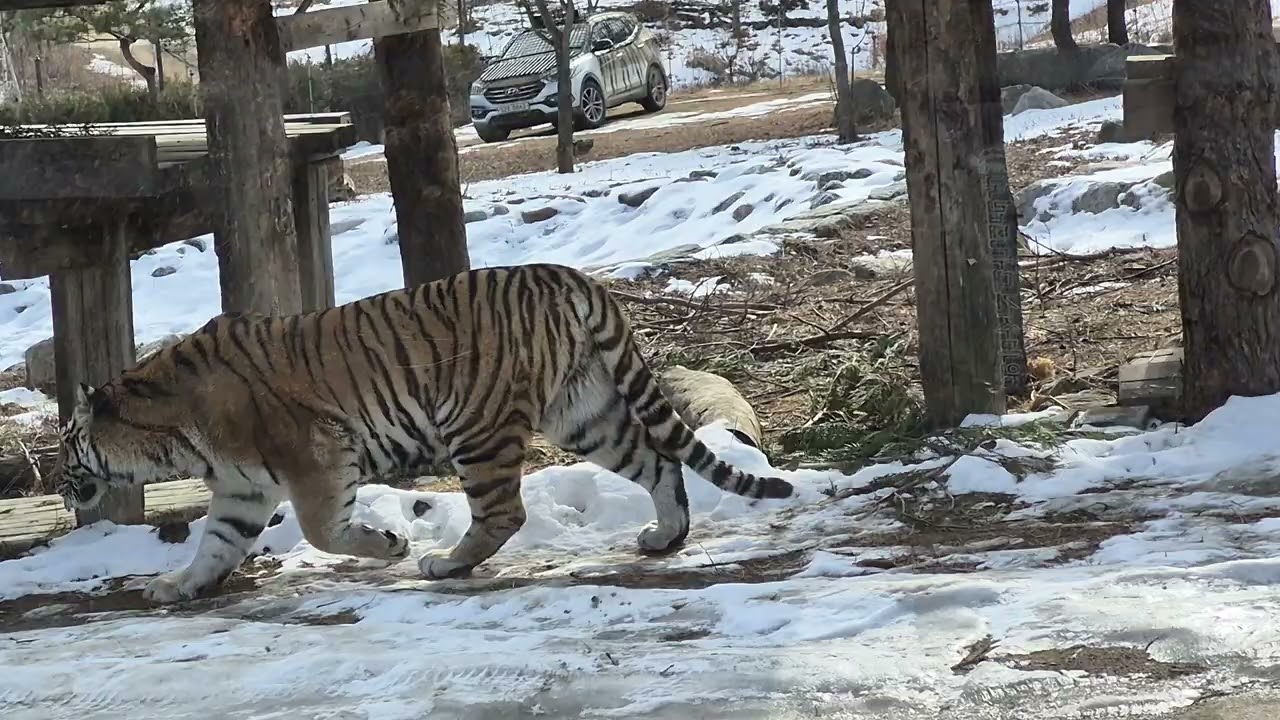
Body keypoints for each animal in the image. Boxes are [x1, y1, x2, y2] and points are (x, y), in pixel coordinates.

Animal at [56, 263, 795, 603]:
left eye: (66, 444)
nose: (62, 486)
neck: (169, 430)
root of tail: (564, 274)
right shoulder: (242, 489)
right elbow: (216, 545)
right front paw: (178, 586)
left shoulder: (317, 454)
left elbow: (322, 530)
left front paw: (388, 544)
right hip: (585, 413)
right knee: (657, 461)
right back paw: (664, 537)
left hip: (476, 424)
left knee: (503, 511)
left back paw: (446, 562)